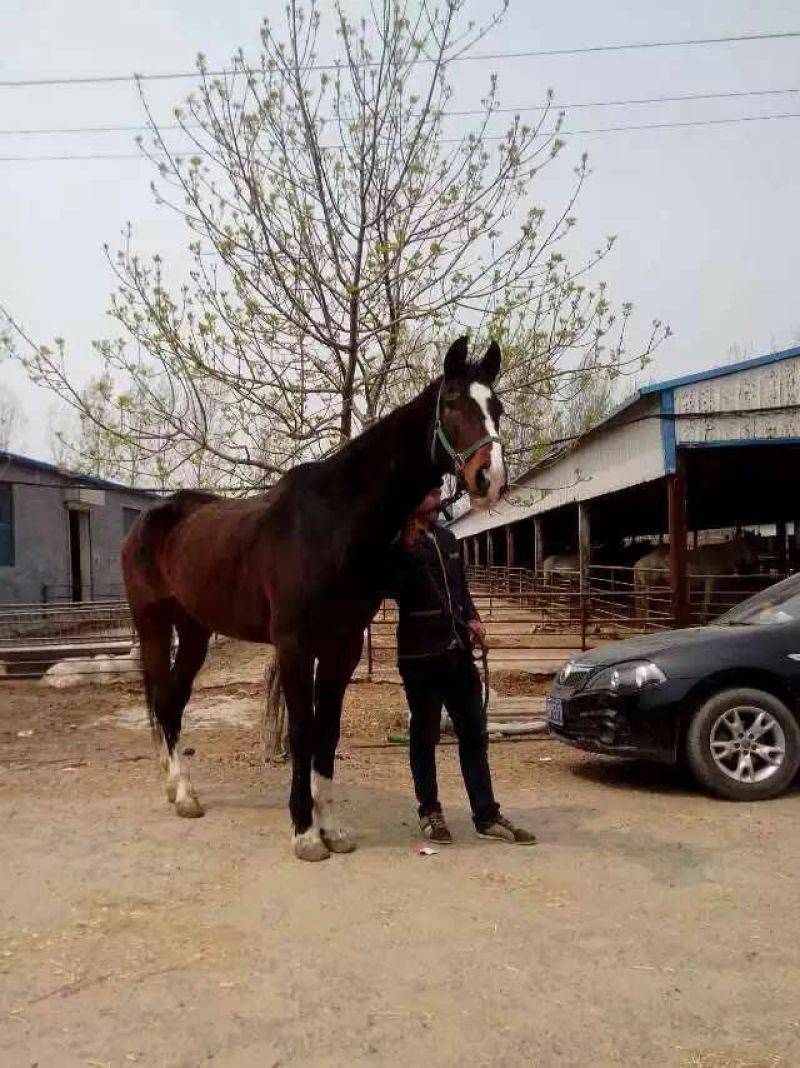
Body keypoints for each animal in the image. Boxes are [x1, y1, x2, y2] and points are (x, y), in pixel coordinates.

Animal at [121, 336, 506, 861]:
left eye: (497, 408)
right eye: (451, 404)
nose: (491, 477)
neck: (332, 521)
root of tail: (151, 518)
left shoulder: (343, 645)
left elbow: (328, 732)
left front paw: (332, 829)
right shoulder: (295, 646)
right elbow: (303, 731)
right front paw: (304, 832)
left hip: (196, 629)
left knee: (173, 700)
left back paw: (181, 789)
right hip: (154, 624)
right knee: (162, 699)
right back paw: (181, 793)